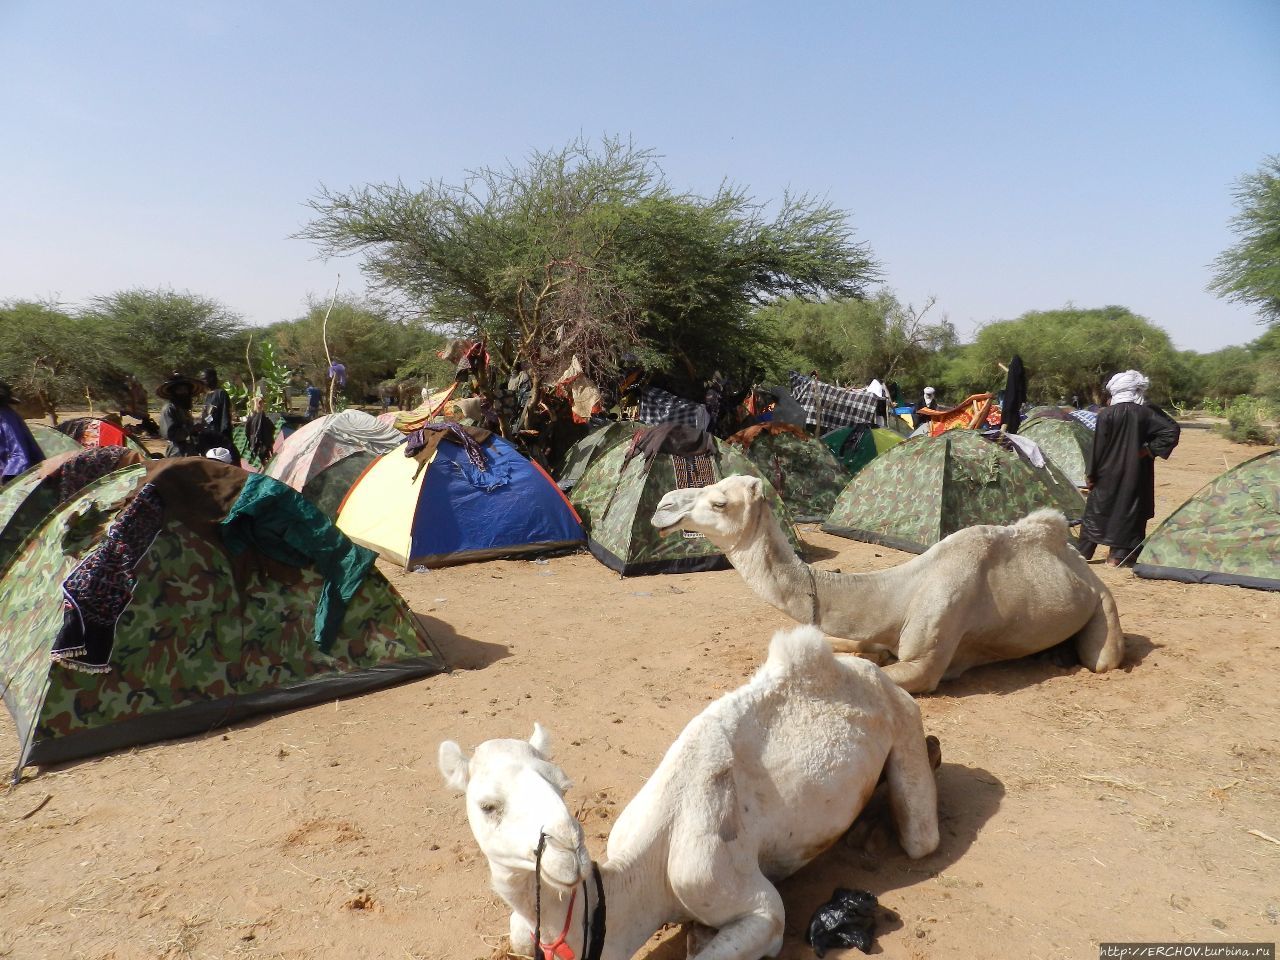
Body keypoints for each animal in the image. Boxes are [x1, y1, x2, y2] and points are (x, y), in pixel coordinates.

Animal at [442, 624, 942, 960]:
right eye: (488, 806)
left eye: (563, 786)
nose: (569, 851)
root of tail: (877, 676)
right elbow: (518, 932)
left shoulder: (737, 895)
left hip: (905, 717)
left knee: (922, 835)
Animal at [650, 478, 1121, 696]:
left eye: (719, 502)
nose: (662, 505)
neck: (898, 594)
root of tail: (1079, 562)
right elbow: (855, 647)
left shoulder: (926, 661)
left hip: (1104, 603)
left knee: (1104, 659)